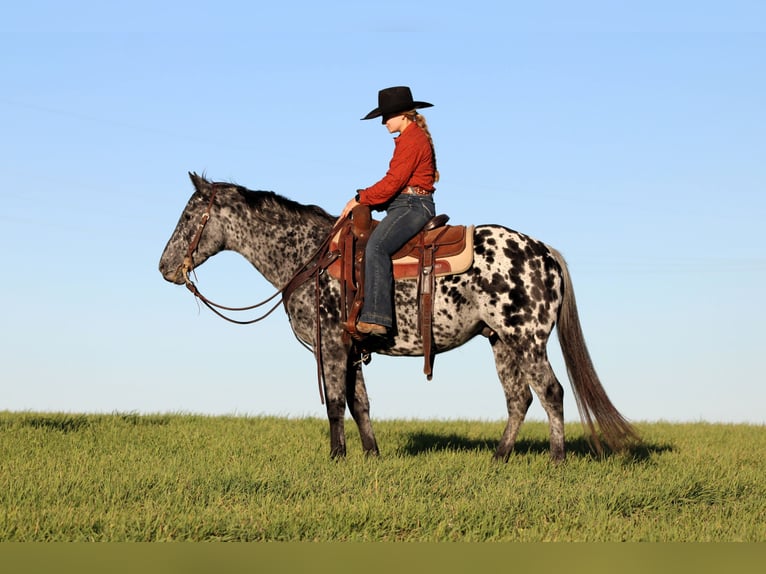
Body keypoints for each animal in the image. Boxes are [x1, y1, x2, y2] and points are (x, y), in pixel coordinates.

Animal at [159, 172, 638, 461]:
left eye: (188, 215)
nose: (164, 267)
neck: (311, 256)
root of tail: (544, 252)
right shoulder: (351, 349)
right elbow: (361, 403)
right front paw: (370, 456)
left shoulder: (329, 345)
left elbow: (336, 403)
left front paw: (337, 457)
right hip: (501, 342)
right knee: (518, 398)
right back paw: (499, 458)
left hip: (528, 340)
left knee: (551, 392)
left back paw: (556, 459)